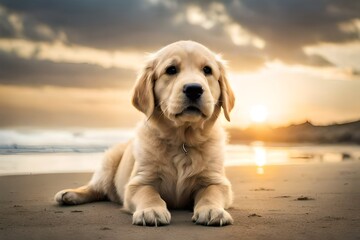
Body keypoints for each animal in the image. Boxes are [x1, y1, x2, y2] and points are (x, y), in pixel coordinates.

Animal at [52, 40, 233, 226]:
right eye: (171, 70)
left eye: (207, 70)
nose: (194, 89)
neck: (182, 139)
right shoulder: (138, 181)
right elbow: (148, 193)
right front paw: (151, 210)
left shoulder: (216, 181)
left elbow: (211, 193)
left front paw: (212, 210)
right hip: (110, 160)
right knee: (96, 187)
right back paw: (70, 195)